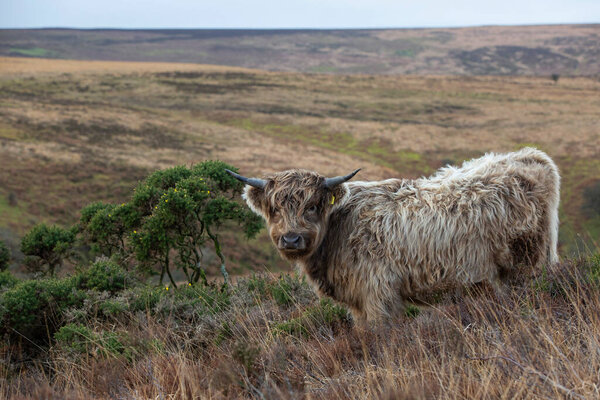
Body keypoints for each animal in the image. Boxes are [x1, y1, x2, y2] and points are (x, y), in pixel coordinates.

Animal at [227, 147, 560, 322]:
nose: (291, 239)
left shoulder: (378, 293)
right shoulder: (360, 302)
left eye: (313, 206)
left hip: (528, 263)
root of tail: (530, 156)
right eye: (274, 208)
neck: (339, 228)